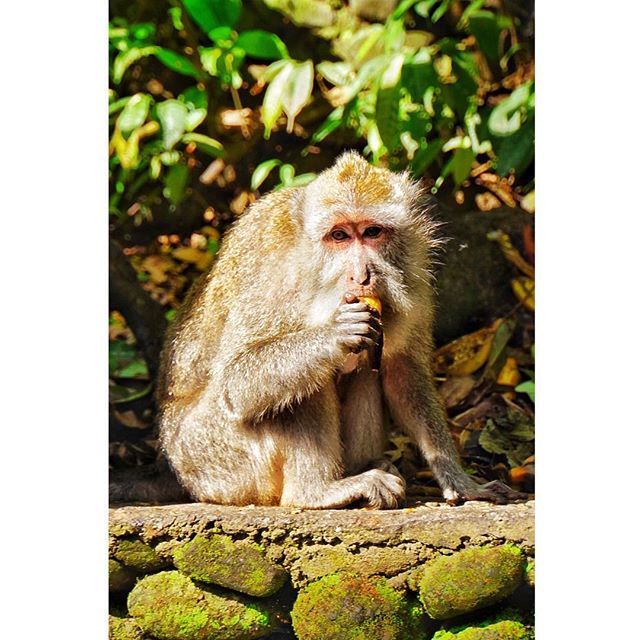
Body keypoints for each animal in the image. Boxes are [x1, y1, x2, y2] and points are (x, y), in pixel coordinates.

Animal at [156, 151, 524, 509]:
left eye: (372, 233)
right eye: (339, 236)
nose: (361, 275)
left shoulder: (416, 284)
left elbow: (402, 371)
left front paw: (459, 480)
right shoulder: (277, 278)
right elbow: (236, 383)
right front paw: (335, 333)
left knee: (364, 368)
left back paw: (365, 468)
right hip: (216, 458)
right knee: (299, 388)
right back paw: (315, 492)